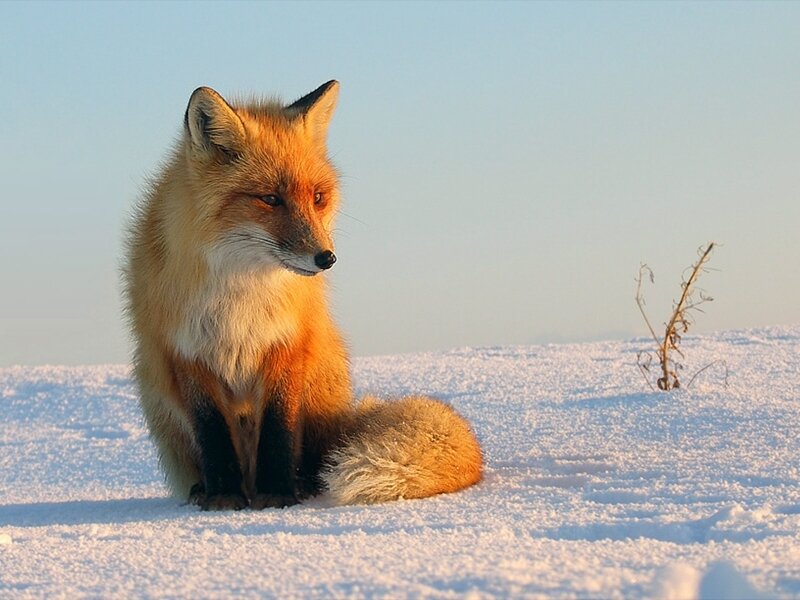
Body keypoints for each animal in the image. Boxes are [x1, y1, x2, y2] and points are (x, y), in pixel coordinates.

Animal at [123, 81, 483, 509]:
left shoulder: (288, 342)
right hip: (153, 384)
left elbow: (279, 427)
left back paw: (304, 483)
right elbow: (213, 434)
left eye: (318, 197)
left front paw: (279, 493)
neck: (241, 292)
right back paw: (208, 490)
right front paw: (223, 496)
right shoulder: (187, 352)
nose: (326, 258)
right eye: (270, 199)